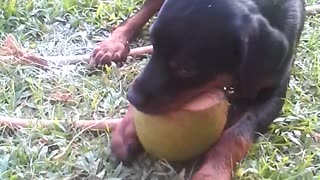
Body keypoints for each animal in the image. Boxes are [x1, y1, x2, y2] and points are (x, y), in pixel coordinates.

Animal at [89, 0, 304, 179]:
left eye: (187, 69)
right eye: (153, 47)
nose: (132, 97)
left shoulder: (275, 92)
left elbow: (237, 134)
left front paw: (211, 172)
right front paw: (127, 127)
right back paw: (112, 44)